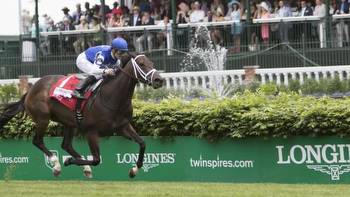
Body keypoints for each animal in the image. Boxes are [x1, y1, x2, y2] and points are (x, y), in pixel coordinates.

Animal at [0, 52, 163, 179]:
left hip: (69, 123)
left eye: (152, 63)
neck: (112, 97)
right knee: (37, 141)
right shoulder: (91, 132)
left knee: (66, 145)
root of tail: (31, 89)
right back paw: (57, 165)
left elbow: (142, 143)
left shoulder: (122, 127)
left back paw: (82, 167)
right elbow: (96, 159)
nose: (159, 80)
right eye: (141, 64)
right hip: (43, 118)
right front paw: (67, 161)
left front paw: (134, 170)